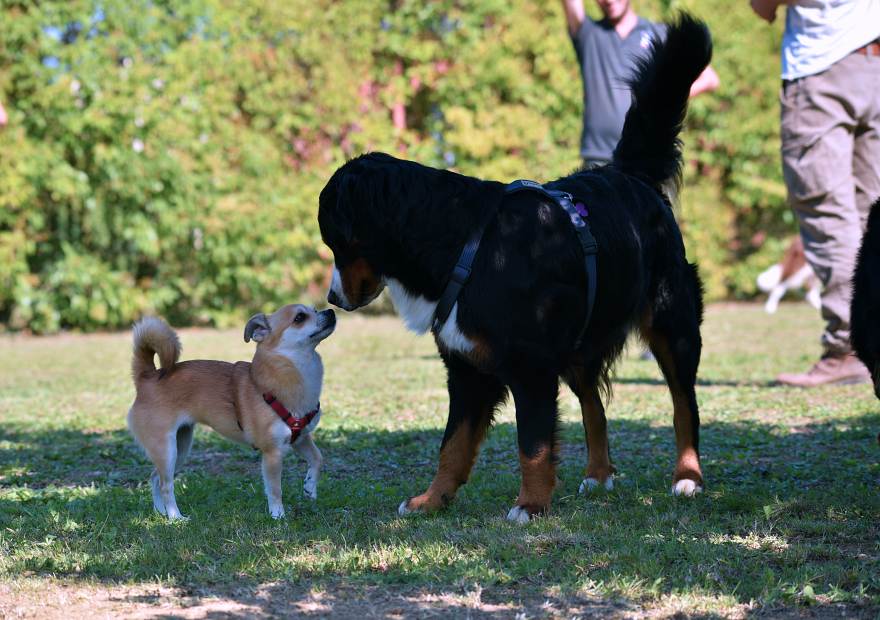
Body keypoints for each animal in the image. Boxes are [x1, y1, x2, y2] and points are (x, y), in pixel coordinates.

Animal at [123, 306, 330, 520]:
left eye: (315, 309)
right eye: (299, 318)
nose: (330, 312)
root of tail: (148, 376)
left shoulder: (301, 439)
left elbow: (318, 459)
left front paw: (310, 488)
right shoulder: (272, 453)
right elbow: (275, 489)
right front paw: (278, 515)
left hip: (180, 447)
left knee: (155, 478)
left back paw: (160, 512)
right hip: (167, 450)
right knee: (166, 485)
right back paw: (175, 517)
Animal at [320, 14, 712, 520]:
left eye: (334, 241)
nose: (331, 297)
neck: (466, 245)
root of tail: (627, 174)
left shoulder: (530, 367)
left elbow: (534, 445)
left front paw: (531, 505)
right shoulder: (466, 370)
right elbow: (452, 446)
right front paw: (432, 500)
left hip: (672, 324)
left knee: (685, 405)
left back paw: (688, 477)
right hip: (580, 344)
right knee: (595, 407)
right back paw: (598, 475)